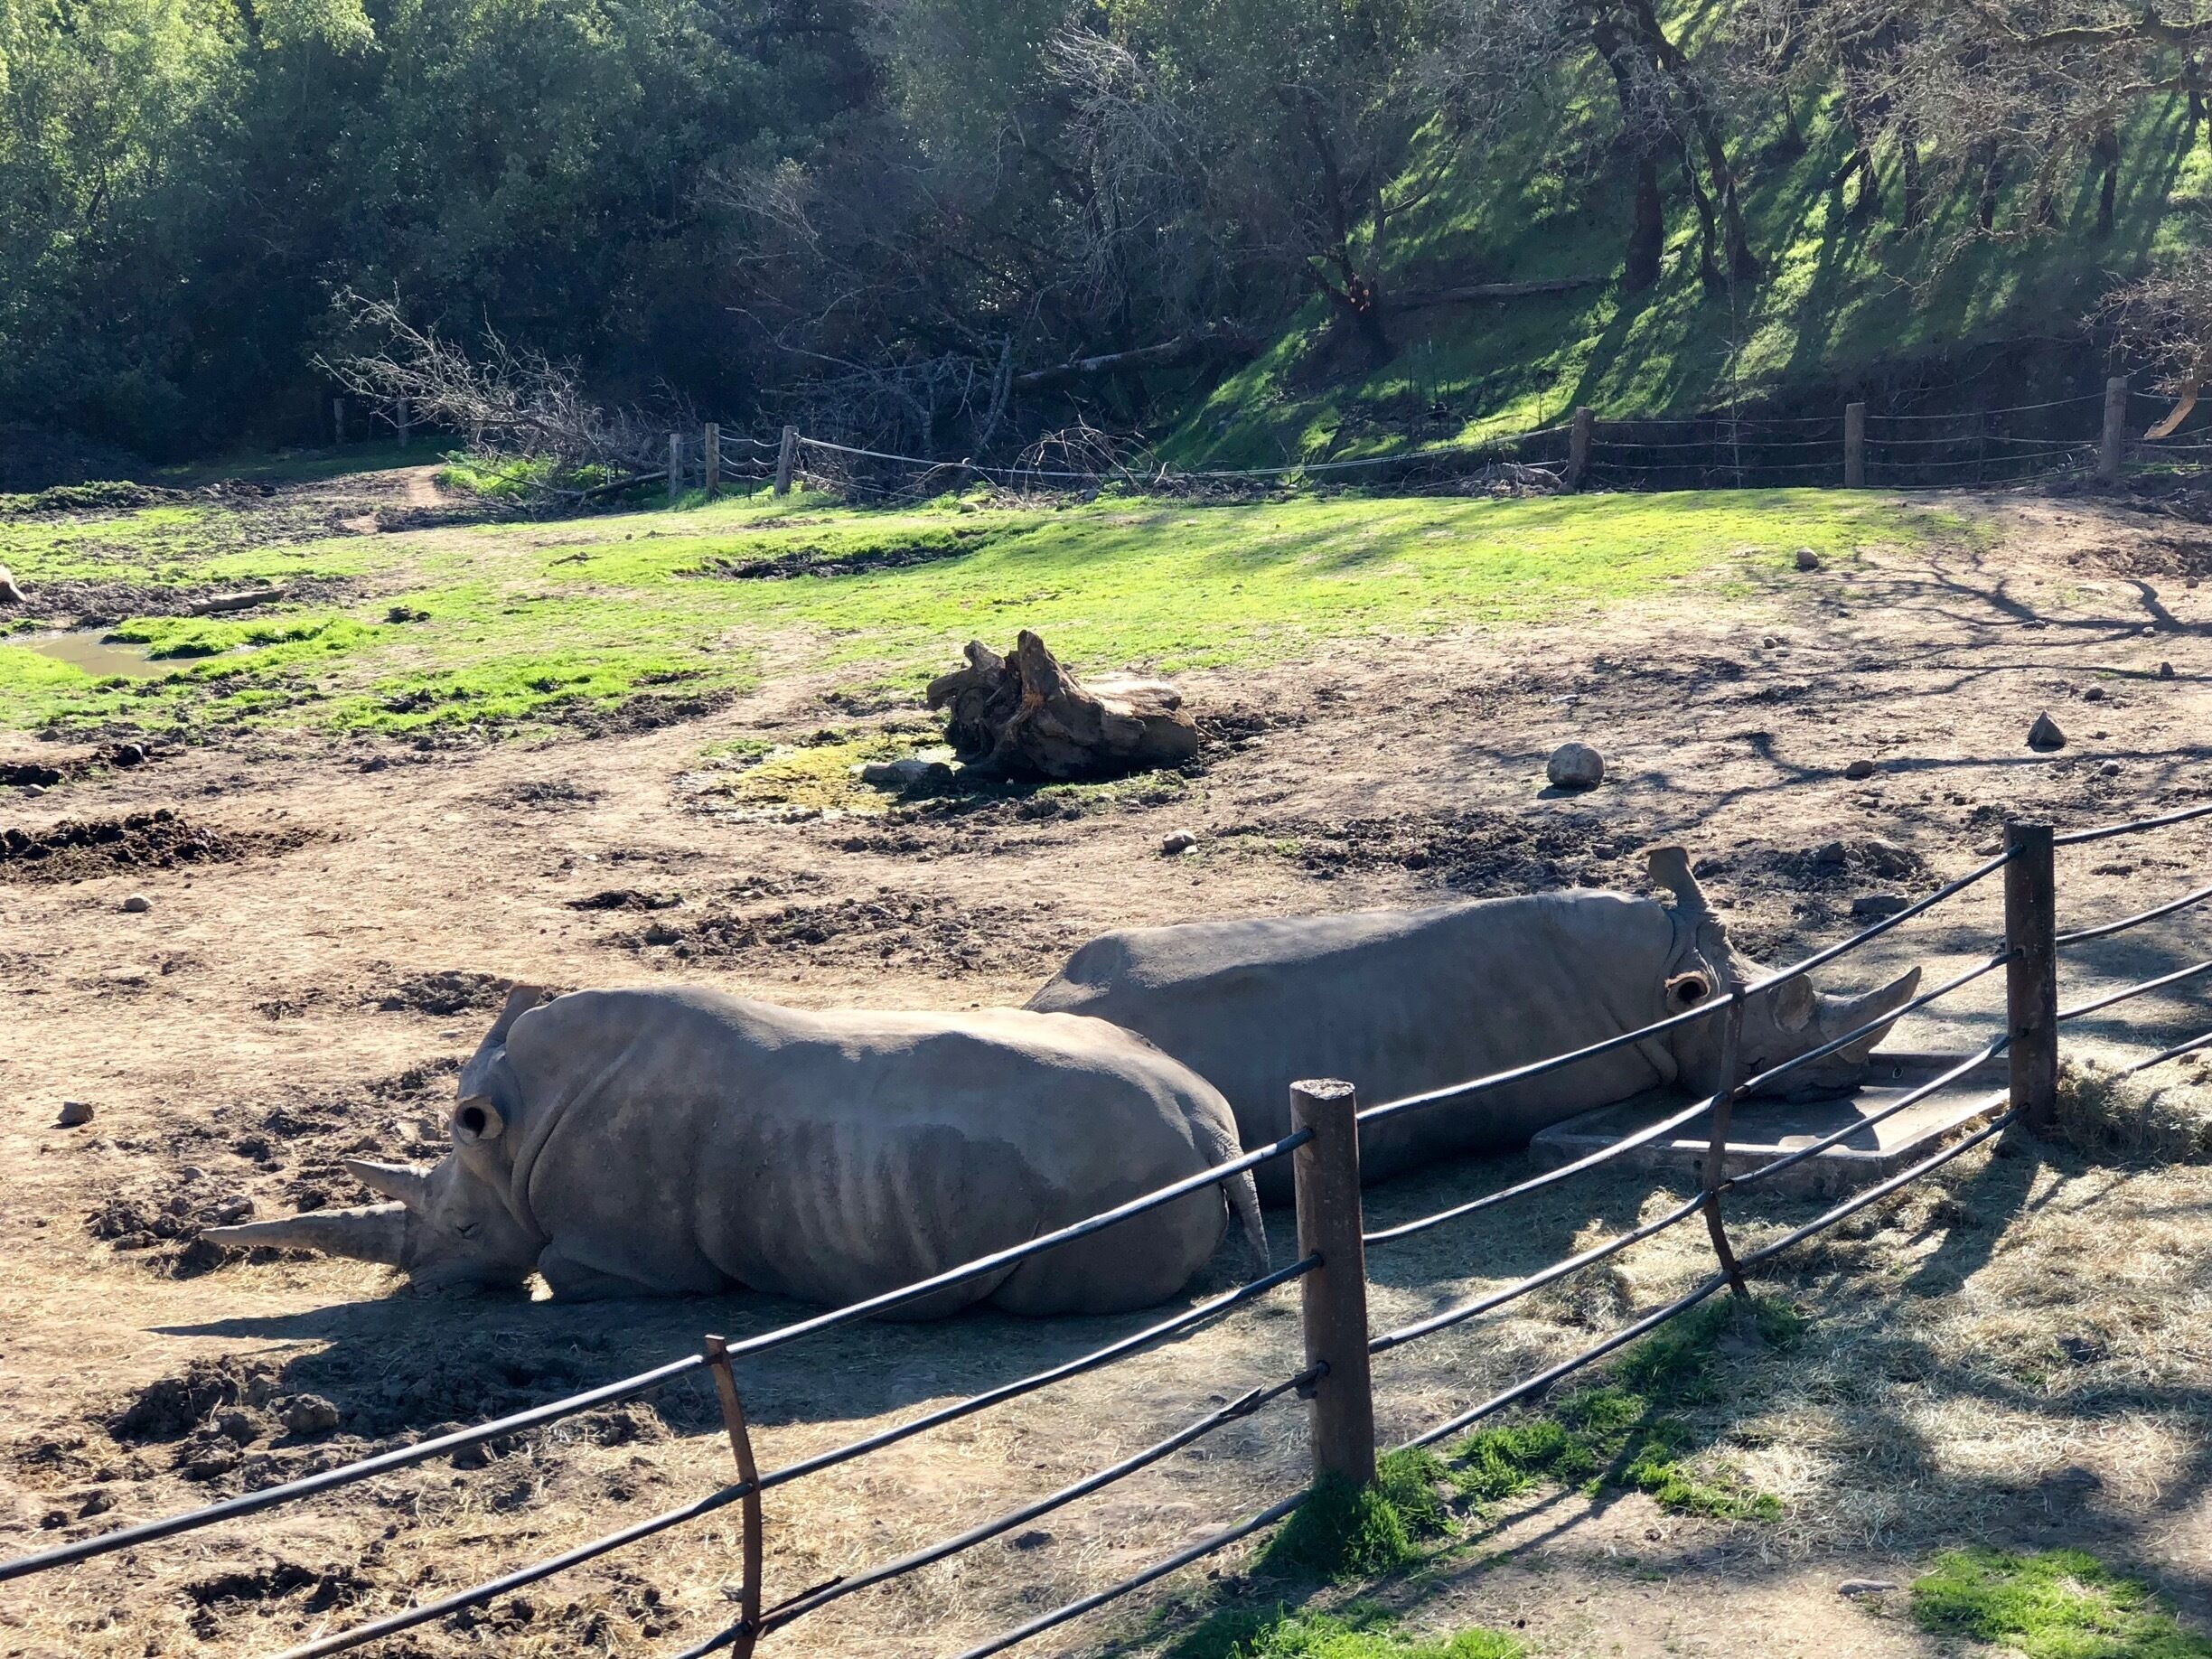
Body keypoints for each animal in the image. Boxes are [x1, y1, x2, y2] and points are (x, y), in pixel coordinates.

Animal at [209, 984, 1264, 1316]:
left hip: (1113, 1174)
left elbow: (562, 1266)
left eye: (462, 1232)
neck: (514, 1136)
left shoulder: (627, 1259)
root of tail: (1215, 1125)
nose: (421, 1285)